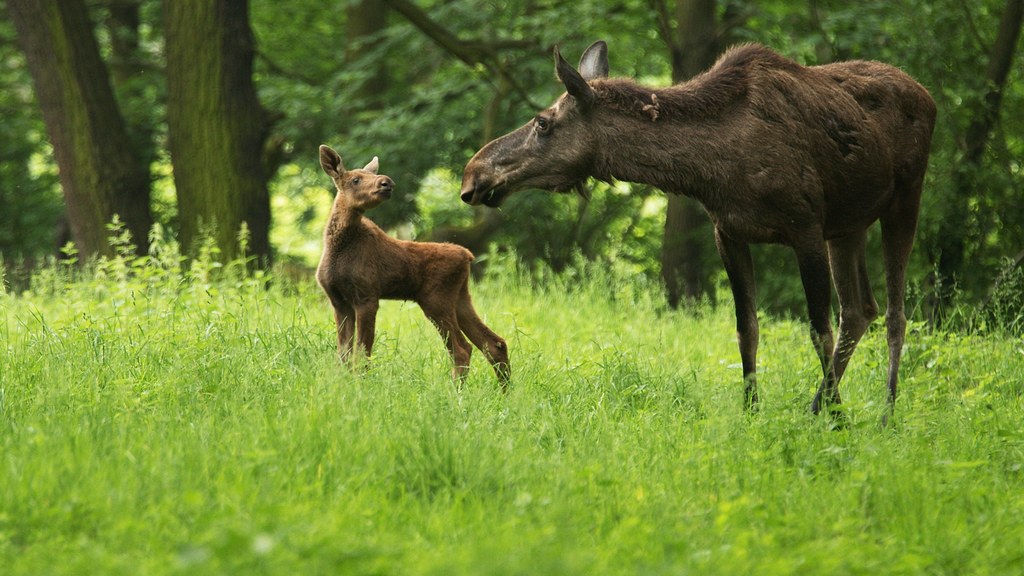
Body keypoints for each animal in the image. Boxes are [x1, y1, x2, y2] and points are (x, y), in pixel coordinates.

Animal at [313, 143, 509, 385]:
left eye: (373, 174)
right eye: (355, 179)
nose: (386, 182)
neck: (337, 250)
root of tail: (468, 256)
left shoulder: (367, 295)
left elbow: (362, 352)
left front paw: (360, 384)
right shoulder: (339, 301)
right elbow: (344, 354)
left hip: (436, 298)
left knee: (462, 349)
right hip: (460, 297)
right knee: (494, 343)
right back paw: (504, 391)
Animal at [462, 39, 937, 416]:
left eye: (543, 122)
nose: (473, 175)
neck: (709, 168)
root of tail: (928, 96)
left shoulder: (805, 227)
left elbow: (817, 329)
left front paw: (840, 420)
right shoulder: (728, 232)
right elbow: (747, 331)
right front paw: (752, 412)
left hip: (904, 199)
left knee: (893, 314)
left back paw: (884, 414)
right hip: (847, 225)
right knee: (859, 310)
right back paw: (818, 405)